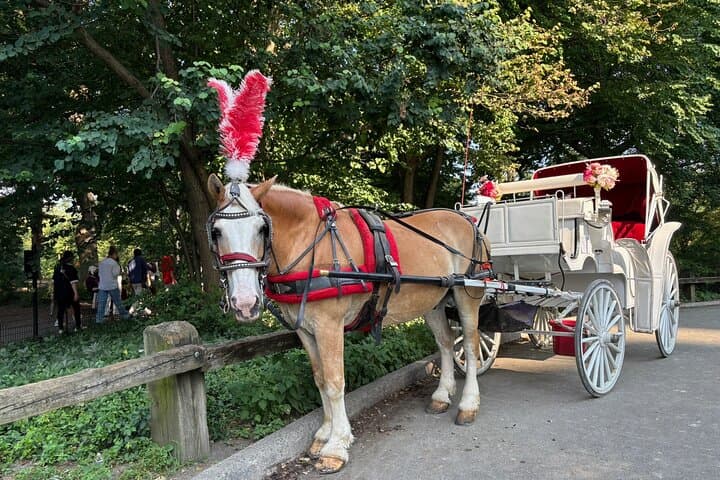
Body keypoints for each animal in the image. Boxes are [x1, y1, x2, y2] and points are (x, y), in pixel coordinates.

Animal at [206, 174, 488, 473]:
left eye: (262, 229)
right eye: (217, 232)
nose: (245, 302)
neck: (310, 245)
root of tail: (468, 221)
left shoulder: (329, 325)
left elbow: (334, 382)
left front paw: (336, 445)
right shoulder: (305, 329)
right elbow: (319, 379)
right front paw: (323, 434)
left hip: (467, 294)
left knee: (471, 345)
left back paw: (468, 404)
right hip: (433, 301)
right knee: (446, 343)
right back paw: (441, 396)